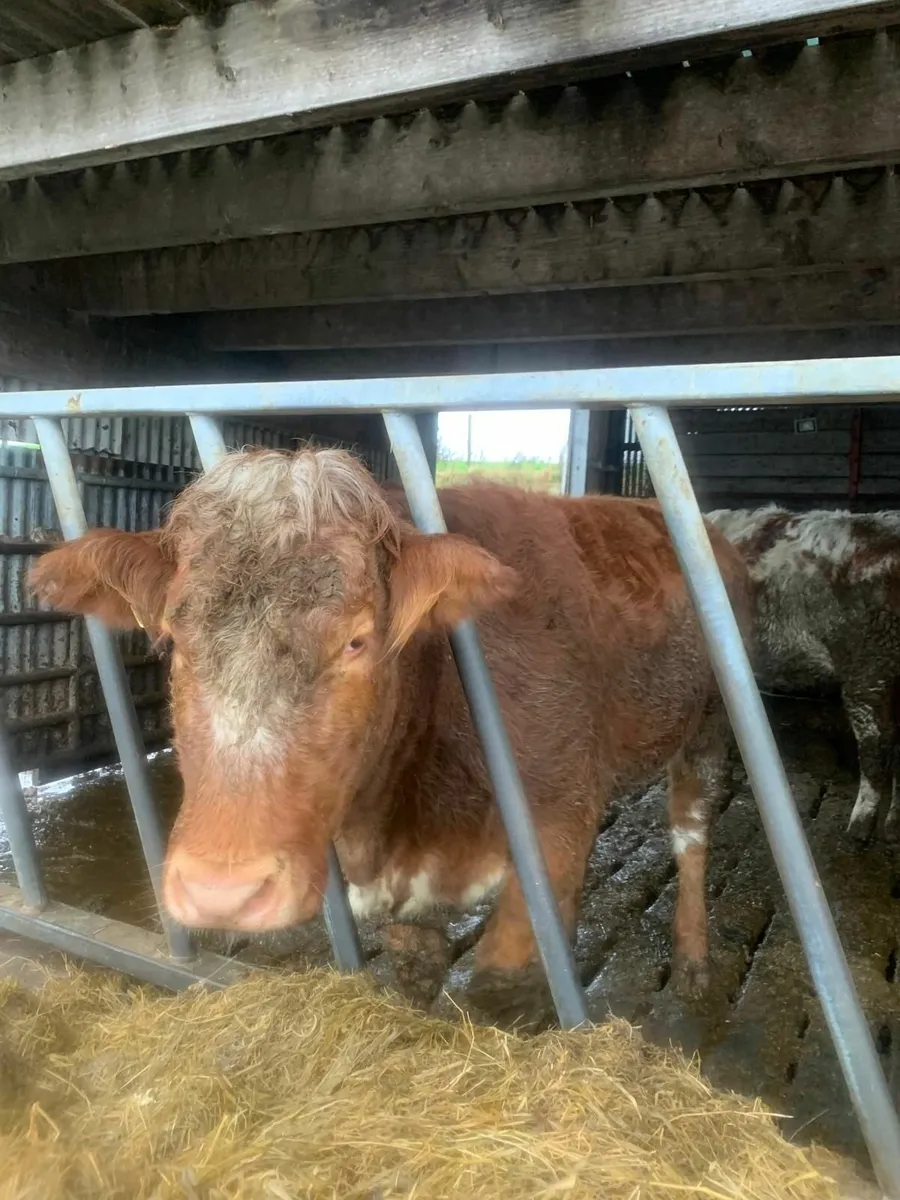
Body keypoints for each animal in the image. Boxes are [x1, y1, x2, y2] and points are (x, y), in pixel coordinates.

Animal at [30, 448, 751, 1025]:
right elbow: (416, 963)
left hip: (711, 721)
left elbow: (499, 984)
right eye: (175, 641)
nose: (220, 893)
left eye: (357, 641)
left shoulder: (558, 817)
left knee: (691, 832)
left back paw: (694, 964)